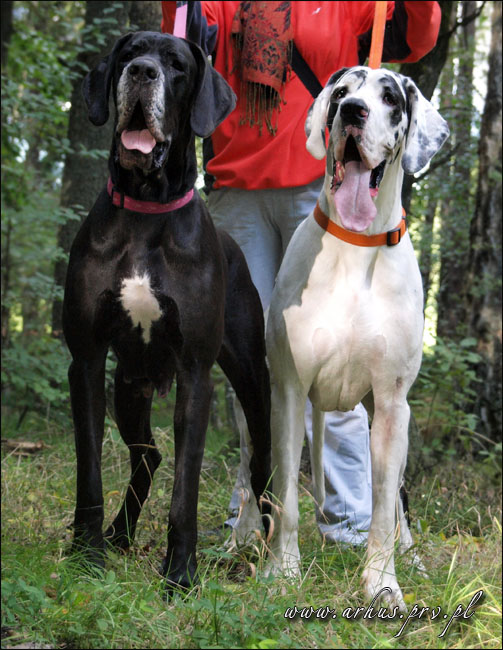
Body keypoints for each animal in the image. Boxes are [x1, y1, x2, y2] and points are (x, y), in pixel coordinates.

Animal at [62, 31, 271, 591]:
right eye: (126, 53)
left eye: (177, 65)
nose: (141, 72)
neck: (145, 210)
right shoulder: (86, 361)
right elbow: (89, 469)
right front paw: (86, 553)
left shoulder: (195, 373)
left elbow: (186, 489)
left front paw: (180, 573)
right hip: (129, 384)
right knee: (149, 455)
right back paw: (119, 532)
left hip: (254, 379)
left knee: (264, 465)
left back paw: (267, 549)